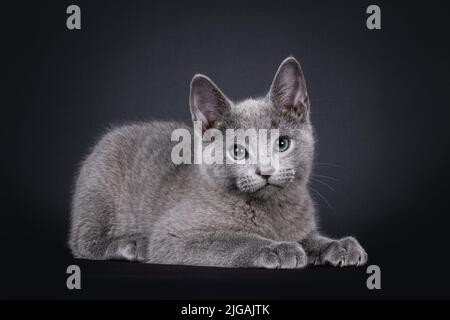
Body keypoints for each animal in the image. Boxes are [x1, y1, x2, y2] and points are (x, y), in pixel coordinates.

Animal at [68, 57, 368, 268]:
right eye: (237, 151)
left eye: (282, 143)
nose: (266, 171)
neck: (272, 212)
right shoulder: (174, 235)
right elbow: (233, 239)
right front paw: (277, 248)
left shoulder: (301, 228)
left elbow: (312, 239)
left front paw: (340, 246)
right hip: (99, 197)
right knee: (83, 241)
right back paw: (132, 245)